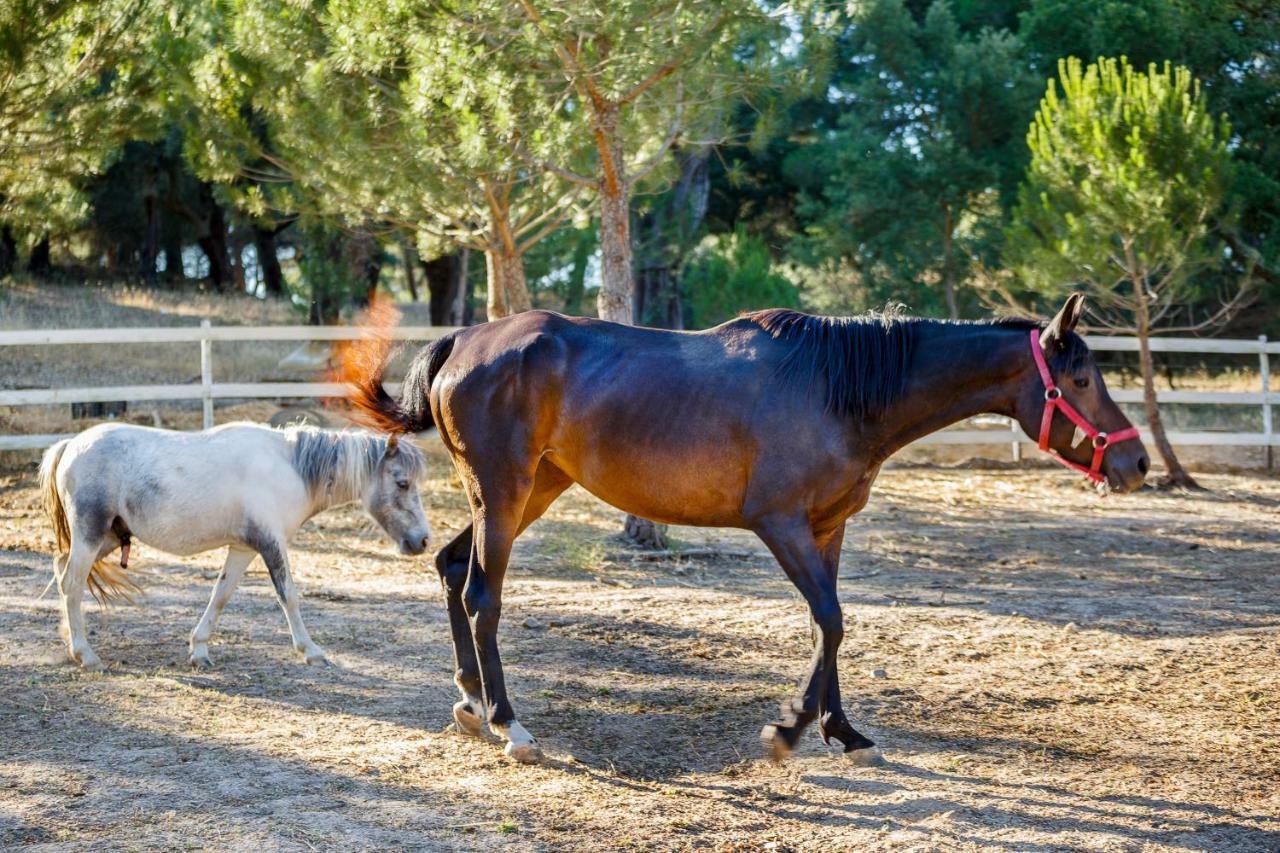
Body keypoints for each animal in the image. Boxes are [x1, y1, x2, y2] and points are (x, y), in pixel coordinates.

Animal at [38, 422, 435, 666]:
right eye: (402, 483)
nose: (422, 540)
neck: (290, 468)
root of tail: (71, 445)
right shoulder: (271, 544)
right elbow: (288, 596)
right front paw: (311, 651)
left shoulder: (244, 549)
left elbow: (221, 594)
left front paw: (199, 650)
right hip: (90, 533)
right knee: (72, 583)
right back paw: (86, 654)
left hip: (106, 537)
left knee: (62, 572)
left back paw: (70, 642)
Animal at [340, 292, 1152, 763]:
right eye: (1081, 379)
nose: (1137, 461)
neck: (837, 387)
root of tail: (465, 340)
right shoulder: (781, 524)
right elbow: (829, 619)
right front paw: (789, 729)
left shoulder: (828, 530)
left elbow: (834, 625)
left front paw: (841, 731)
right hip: (504, 492)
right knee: (482, 594)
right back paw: (510, 724)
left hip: (529, 491)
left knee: (453, 570)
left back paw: (471, 702)